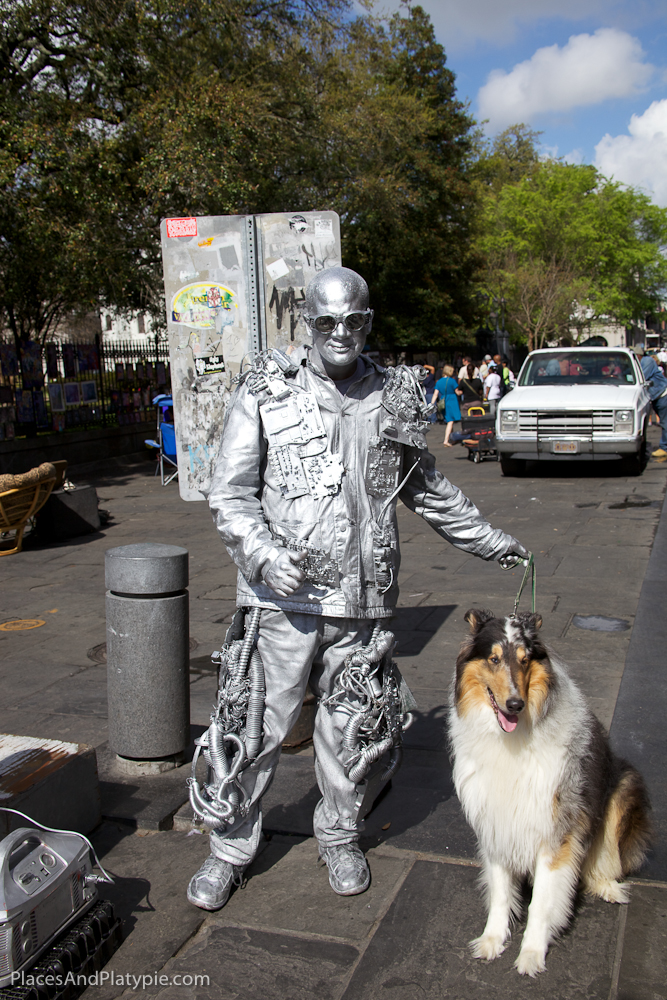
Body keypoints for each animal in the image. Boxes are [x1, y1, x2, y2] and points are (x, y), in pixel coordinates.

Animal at [448, 608, 652, 976]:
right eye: (494, 659)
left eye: (525, 660)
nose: (515, 704)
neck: (510, 740)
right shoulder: (496, 823)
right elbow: (500, 893)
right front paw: (492, 940)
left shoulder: (555, 833)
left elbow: (542, 902)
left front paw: (531, 953)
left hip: (625, 787)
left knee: (602, 863)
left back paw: (610, 888)